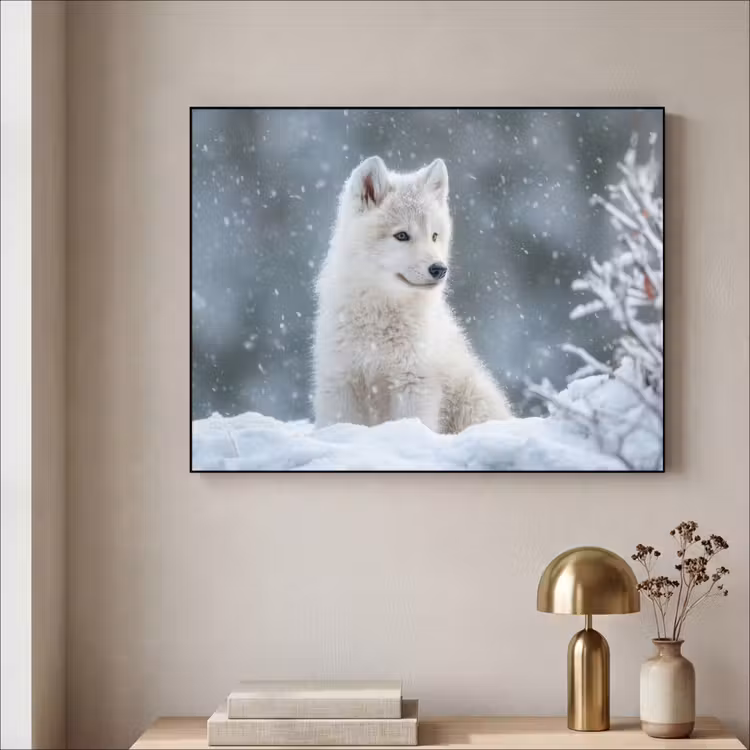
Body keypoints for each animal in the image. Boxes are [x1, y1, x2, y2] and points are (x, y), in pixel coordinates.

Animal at [313, 155, 511, 433]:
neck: (379, 317)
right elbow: (338, 424)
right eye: (402, 235)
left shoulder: (414, 383)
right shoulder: (340, 380)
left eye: (434, 236)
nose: (439, 269)